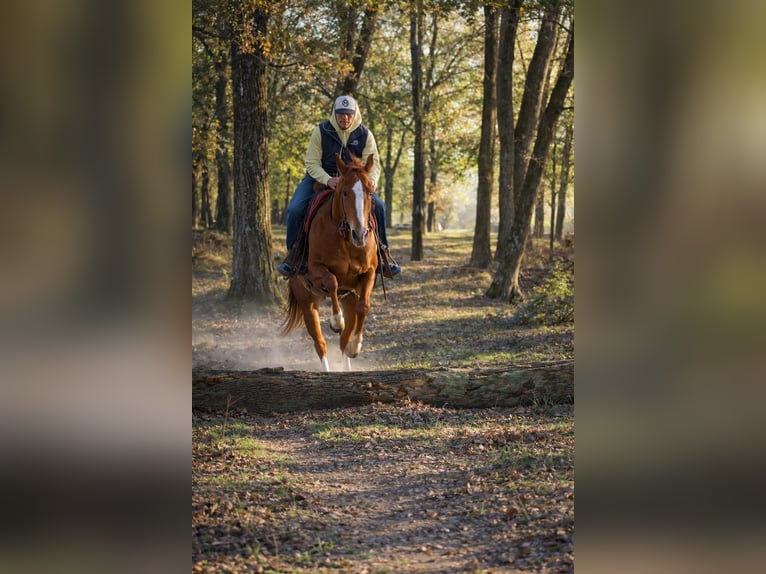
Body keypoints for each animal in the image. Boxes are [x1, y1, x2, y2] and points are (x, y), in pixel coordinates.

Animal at [281, 153, 379, 371]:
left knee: (343, 340)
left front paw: (356, 346)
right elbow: (332, 281)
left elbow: (364, 306)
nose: (360, 234)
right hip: (307, 302)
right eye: (344, 192)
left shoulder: (369, 272)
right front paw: (336, 321)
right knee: (320, 344)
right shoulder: (315, 268)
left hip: (348, 298)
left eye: (370, 192)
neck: (346, 239)